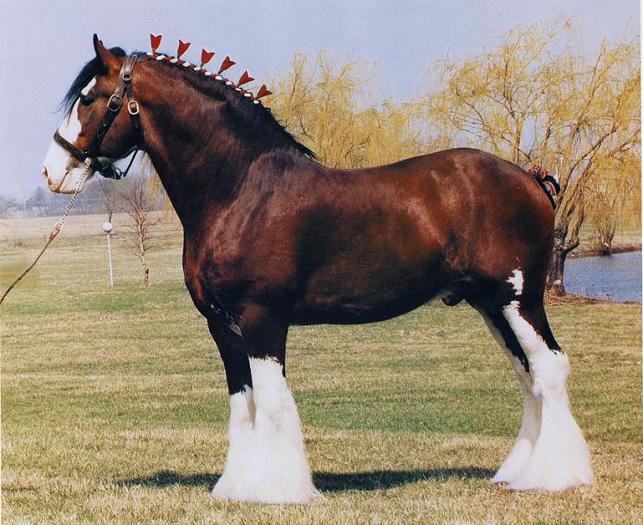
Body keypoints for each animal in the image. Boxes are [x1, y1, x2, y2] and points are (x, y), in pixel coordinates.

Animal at [41, 35, 593, 503]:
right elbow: (243, 402)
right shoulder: (222, 325)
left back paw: (556, 476)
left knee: (549, 367)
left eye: (90, 98)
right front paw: (238, 487)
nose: (52, 173)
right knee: (527, 375)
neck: (240, 189)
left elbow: (272, 401)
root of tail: (530, 177)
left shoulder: (262, 318)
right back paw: (518, 473)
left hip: (520, 298)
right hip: (490, 304)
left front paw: (278, 491)